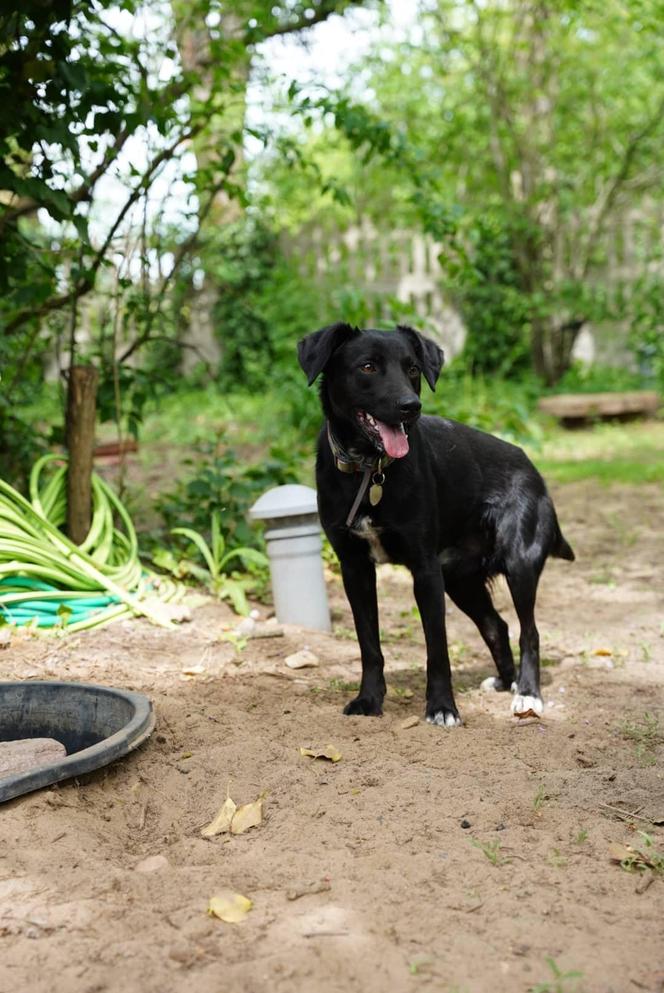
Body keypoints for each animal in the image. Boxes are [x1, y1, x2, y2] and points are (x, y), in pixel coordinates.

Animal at [298, 322, 572, 724]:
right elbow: (369, 645)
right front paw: (369, 700)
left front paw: (442, 707)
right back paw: (507, 682)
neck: (370, 471)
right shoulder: (355, 569)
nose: (411, 407)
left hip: (518, 565)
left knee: (529, 632)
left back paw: (528, 694)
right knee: (497, 626)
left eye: (413, 368)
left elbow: (437, 648)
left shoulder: (425, 570)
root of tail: (531, 466)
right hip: (460, 580)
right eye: (367, 367)